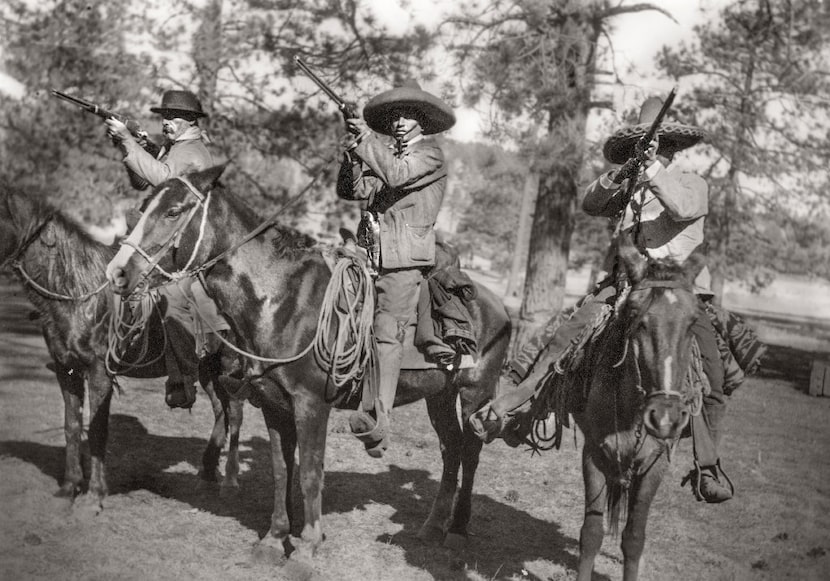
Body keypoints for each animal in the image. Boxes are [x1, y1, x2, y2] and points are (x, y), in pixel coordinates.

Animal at [0, 182, 245, 508]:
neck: (78, 292)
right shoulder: (66, 372)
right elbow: (71, 427)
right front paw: (69, 487)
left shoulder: (99, 373)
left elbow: (97, 431)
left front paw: (94, 495)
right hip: (206, 367)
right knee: (220, 411)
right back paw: (206, 471)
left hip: (229, 365)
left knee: (235, 413)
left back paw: (230, 481)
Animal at [105, 165, 512, 564]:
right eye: (143, 207)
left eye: (173, 211)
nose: (118, 272)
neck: (279, 300)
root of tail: (499, 306)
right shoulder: (274, 405)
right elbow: (282, 470)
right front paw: (274, 539)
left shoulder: (312, 405)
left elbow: (311, 474)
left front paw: (307, 547)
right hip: (438, 397)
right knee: (451, 449)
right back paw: (432, 527)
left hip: (475, 395)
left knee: (470, 453)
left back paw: (457, 530)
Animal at [576, 237, 704, 580]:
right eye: (636, 315)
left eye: (693, 322)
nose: (666, 418)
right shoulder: (593, 454)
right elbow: (591, 533)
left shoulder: (655, 465)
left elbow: (634, 538)